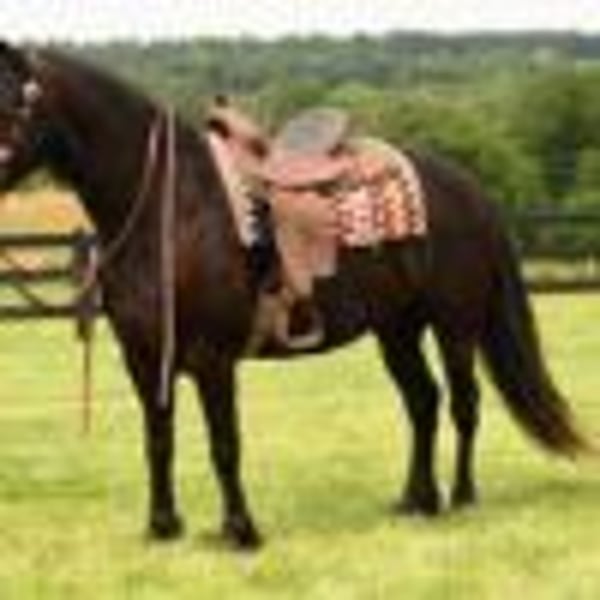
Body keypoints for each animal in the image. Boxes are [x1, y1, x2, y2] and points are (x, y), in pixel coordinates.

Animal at [0, 41, 586, 549]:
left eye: (12, 101)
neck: (172, 209)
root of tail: (471, 190)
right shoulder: (144, 359)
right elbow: (158, 442)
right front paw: (163, 527)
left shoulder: (212, 359)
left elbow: (224, 445)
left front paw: (240, 531)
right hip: (397, 329)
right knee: (423, 402)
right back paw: (416, 500)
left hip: (454, 326)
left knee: (465, 403)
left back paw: (462, 496)